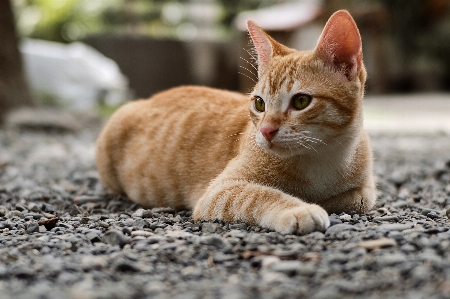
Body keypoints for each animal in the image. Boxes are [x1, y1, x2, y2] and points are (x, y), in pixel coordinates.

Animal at [96, 9, 376, 237]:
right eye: (260, 104)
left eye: (301, 101)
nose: (266, 130)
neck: (320, 158)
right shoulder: (219, 191)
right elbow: (259, 194)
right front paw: (300, 208)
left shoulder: (366, 191)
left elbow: (354, 199)